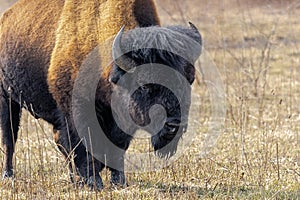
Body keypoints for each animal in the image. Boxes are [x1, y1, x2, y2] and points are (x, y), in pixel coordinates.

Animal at [0, 0, 203, 189]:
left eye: (189, 80)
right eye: (144, 85)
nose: (173, 125)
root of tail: (6, 18)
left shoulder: (121, 122)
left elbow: (117, 148)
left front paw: (119, 181)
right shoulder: (77, 113)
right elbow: (85, 146)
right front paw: (94, 182)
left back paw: (73, 179)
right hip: (7, 99)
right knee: (10, 138)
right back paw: (8, 175)